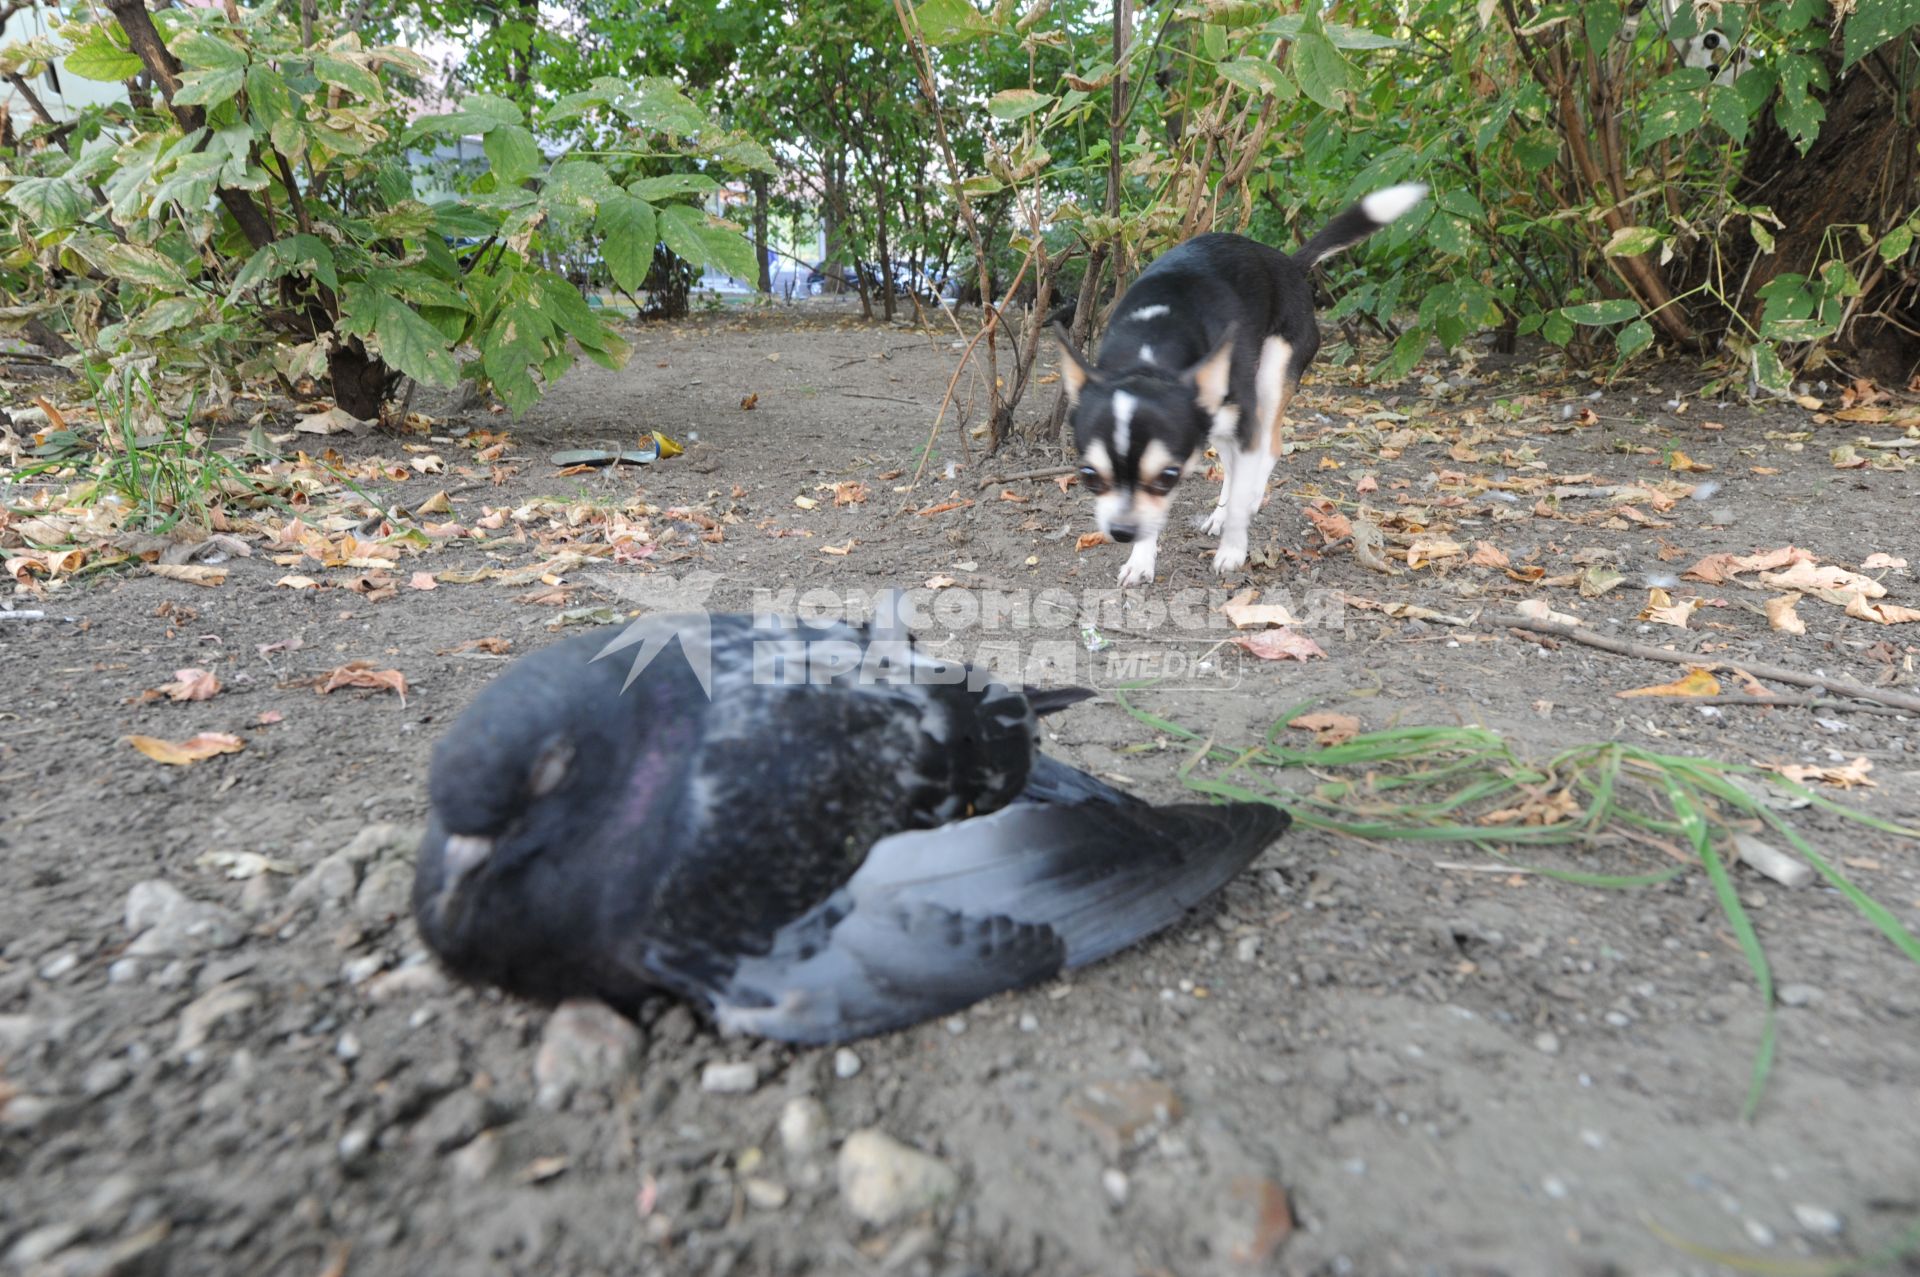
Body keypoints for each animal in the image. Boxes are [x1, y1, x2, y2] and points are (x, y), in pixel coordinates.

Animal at [1052, 183, 1428, 583]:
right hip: (1217, 423)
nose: (1123, 531)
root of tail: (1290, 264)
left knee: (1269, 447)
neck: (1150, 350)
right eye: (1089, 475)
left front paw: (1232, 551)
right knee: (1233, 467)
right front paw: (1141, 559)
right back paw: (1219, 512)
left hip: (1271, 379)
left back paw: (1247, 501)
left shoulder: (1242, 423)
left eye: (1168, 476)